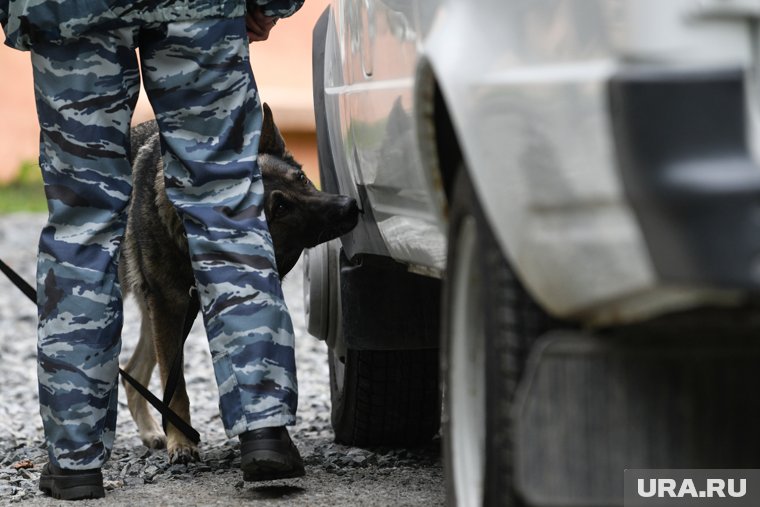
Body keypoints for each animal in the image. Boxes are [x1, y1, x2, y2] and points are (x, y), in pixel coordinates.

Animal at [118, 104, 360, 464]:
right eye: (280, 207)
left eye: (302, 179)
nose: (350, 206)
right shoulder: (168, 311)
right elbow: (177, 390)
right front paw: (182, 442)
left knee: (133, 369)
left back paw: (149, 432)